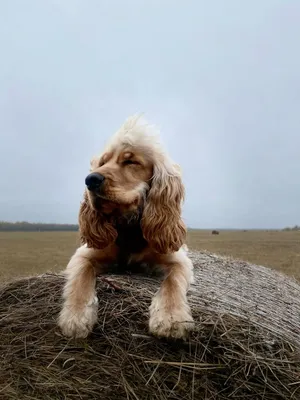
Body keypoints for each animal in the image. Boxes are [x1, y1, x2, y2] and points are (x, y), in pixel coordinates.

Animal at [58, 114, 195, 340]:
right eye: (103, 162)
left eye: (130, 161)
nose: (91, 179)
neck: (129, 227)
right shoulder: (85, 254)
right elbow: (81, 277)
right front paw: (75, 317)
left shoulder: (177, 260)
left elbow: (173, 281)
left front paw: (171, 316)